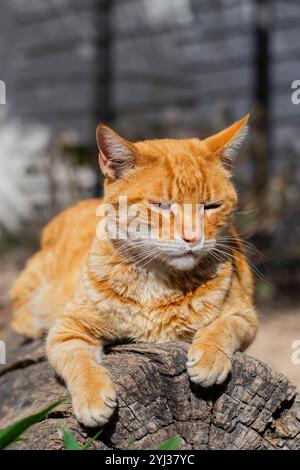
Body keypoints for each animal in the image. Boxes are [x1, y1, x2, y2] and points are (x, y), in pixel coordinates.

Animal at [10, 115, 256, 428]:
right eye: (161, 206)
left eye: (211, 206)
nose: (193, 237)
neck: (157, 279)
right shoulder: (67, 330)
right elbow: (79, 362)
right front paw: (92, 397)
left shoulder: (246, 316)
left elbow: (224, 326)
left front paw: (209, 357)